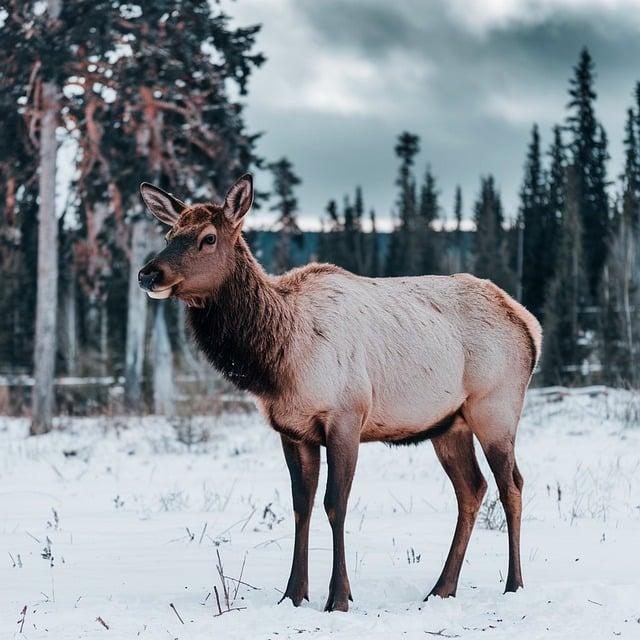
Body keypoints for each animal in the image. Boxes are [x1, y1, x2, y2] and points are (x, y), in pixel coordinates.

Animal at [139, 174, 540, 608]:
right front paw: (293, 594)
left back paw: (514, 584)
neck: (279, 360)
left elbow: (336, 504)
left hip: (496, 409)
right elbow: (301, 506)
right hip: (449, 424)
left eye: (208, 238)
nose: (148, 274)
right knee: (472, 488)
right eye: (170, 233)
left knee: (511, 485)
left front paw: (339, 597)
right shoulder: (292, 430)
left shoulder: (346, 417)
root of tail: (529, 325)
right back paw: (441, 588)